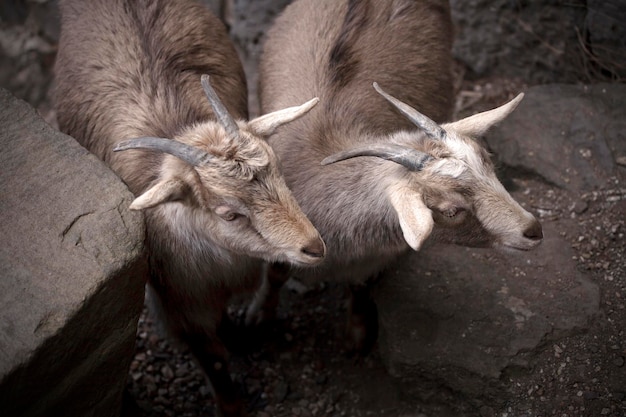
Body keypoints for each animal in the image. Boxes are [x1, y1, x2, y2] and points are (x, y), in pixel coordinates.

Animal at [54, 1, 324, 414]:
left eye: (278, 168)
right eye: (229, 213)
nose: (314, 247)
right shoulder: (180, 305)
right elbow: (213, 359)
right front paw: (232, 406)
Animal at [254, 0, 540, 352]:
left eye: (490, 165)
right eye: (451, 211)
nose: (533, 230)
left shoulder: (373, 261)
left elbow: (360, 286)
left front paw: (357, 335)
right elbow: (276, 273)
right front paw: (259, 317)